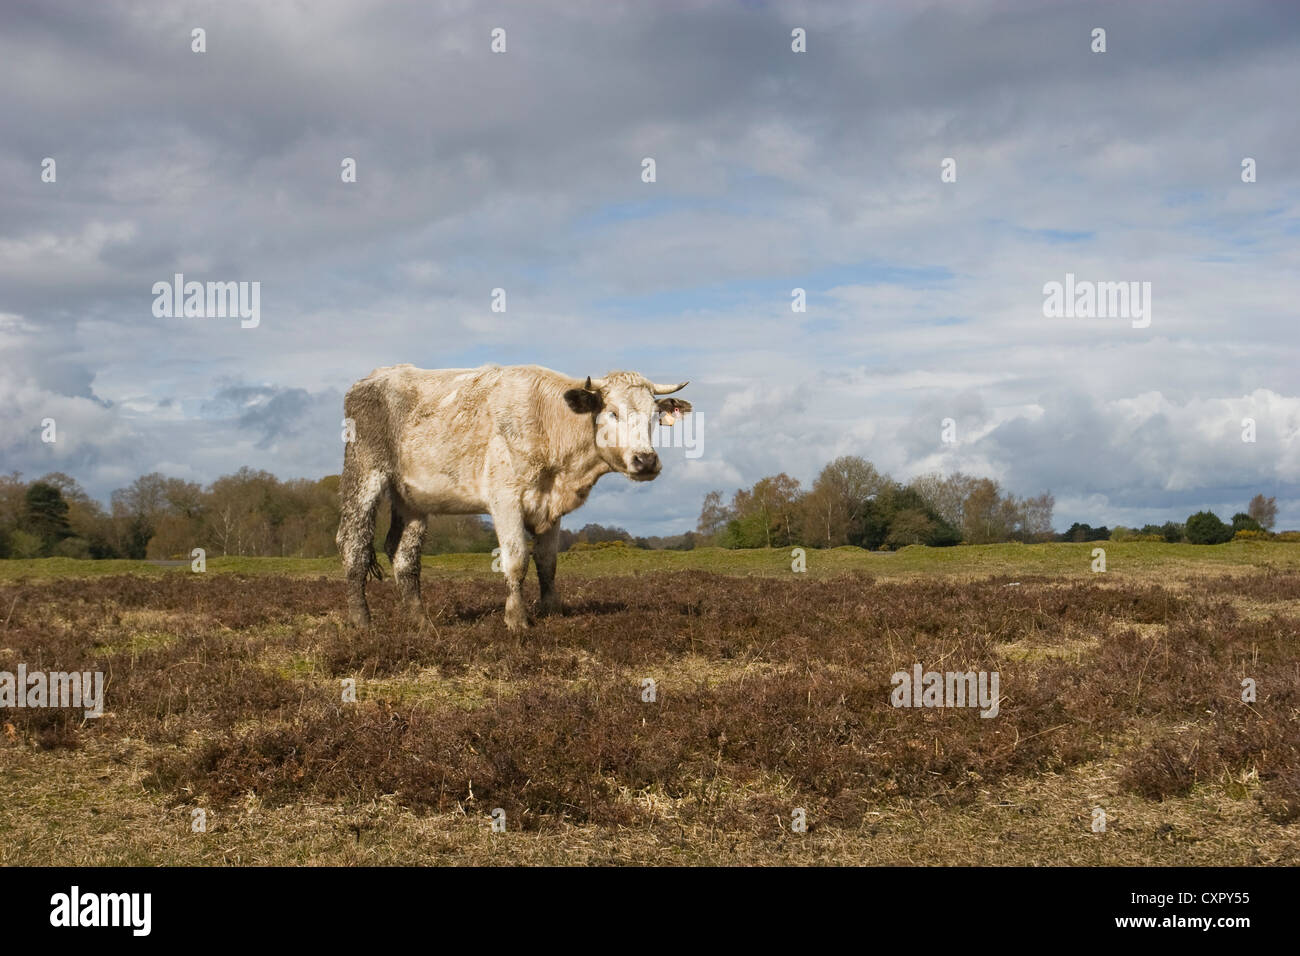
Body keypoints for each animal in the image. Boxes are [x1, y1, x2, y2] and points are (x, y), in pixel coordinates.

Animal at [340, 364, 696, 629]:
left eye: (653, 416)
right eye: (612, 412)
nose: (646, 460)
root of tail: (371, 378)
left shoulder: (551, 507)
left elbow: (547, 561)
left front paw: (551, 610)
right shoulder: (506, 501)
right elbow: (516, 560)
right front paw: (517, 619)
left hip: (413, 499)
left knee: (404, 557)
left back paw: (420, 623)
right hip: (364, 475)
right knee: (354, 545)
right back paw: (361, 622)